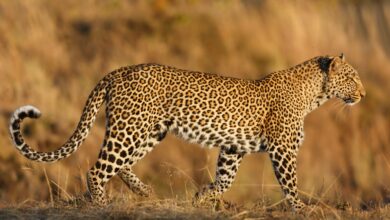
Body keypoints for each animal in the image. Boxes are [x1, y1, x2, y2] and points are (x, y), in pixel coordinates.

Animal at [7, 53, 364, 211]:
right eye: (352, 78)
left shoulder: (233, 148)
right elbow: (290, 184)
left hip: (149, 131)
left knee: (119, 165)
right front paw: (301, 210)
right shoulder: (282, 149)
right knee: (97, 169)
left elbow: (225, 179)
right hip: (131, 127)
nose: (362, 94)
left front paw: (202, 197)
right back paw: (101, 203)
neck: (315, 95)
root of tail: (119, 70)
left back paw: (144, 191)